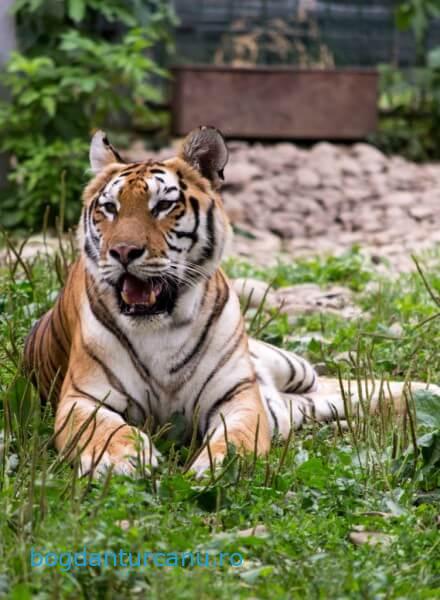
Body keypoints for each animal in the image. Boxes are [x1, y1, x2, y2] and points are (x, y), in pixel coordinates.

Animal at [23, 126, 440, 478]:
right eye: (109, 208)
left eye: (163, 206)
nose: (123, 251)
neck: (160, 328)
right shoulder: (82, 398)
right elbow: (102, 430)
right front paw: (121, 460)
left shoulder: (238, 395)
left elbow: (237, 436)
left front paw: (221, 466)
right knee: (341, 394)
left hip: (292, 366)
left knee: (345, 383)